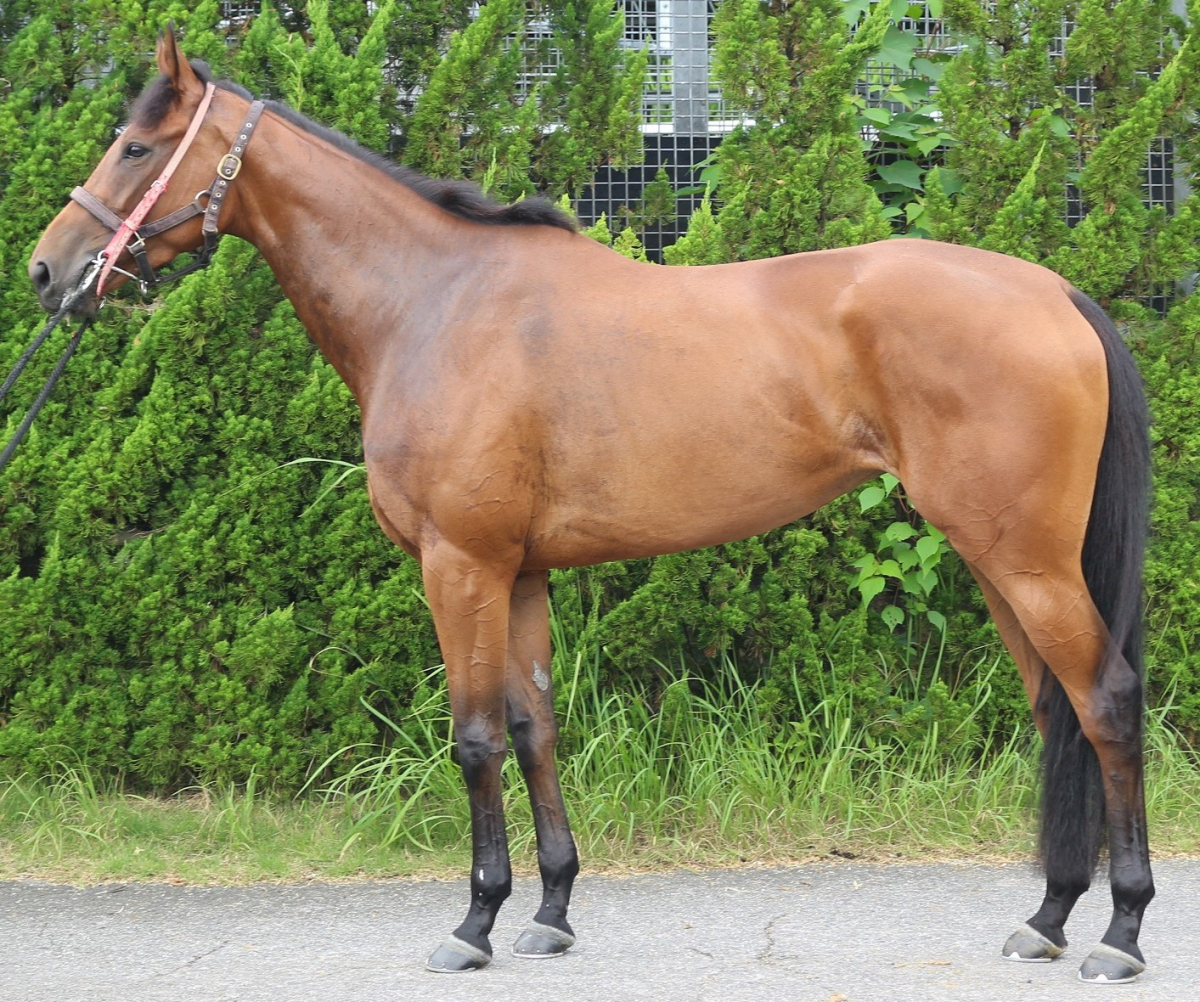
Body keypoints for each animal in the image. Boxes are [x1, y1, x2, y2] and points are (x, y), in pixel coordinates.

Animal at [29, 33, 1153, 984]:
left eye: (136, 145)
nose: (48, 270)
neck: (434, 302)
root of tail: (1055, 292)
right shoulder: (519, 572)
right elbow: (535, 729)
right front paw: (550, 913)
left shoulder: (460, 565)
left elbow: (475, 737)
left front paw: (473, 923)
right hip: (1001, 561)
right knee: (1057, 710)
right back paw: (1048, 918)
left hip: (1025, 559)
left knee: (1104, 702)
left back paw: (1121, 932)